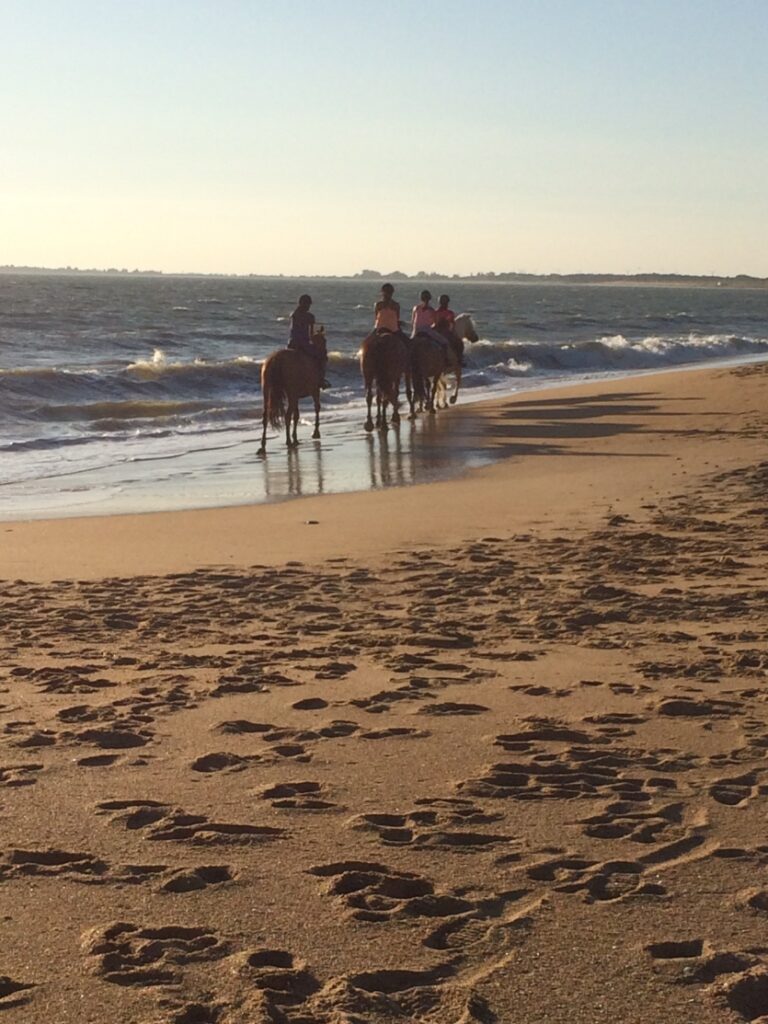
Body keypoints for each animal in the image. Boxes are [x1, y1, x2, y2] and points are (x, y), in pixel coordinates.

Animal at [260, 327, 329, 456]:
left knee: (266, 416)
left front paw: (296, 438)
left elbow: (296, 415)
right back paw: (288, 441)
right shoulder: (314, 391)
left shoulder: (295, 396)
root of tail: (276, 358)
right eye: (325, 340)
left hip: (267, 390)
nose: (326, 356)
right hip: (291, 393)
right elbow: (316, 408)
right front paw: (315, 432)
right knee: (287, 416)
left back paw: (263, 445)